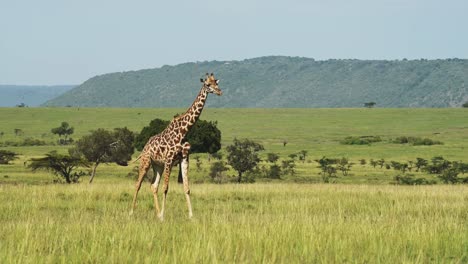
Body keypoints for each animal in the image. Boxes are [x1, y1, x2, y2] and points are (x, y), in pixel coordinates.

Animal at [129, 73, 222, 220]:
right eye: (207, 84)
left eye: (216, 82)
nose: (219, 91)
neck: (184, 131)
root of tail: (145, 146)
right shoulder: (169, 160)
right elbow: (166, 188)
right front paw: (163, 215)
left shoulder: (184, 159)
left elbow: (187, 188)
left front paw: (191, 216)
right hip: (146, 161)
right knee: (138, 184)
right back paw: (132, 212)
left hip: (158, 166)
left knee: (153, 186)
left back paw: (156, 214)